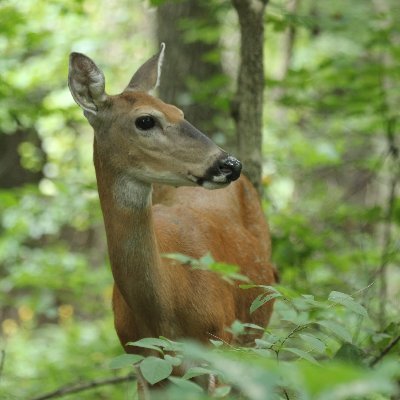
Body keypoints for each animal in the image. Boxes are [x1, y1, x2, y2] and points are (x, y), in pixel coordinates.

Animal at [68, 43, 276, 396]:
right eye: (146, 120)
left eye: (179, 111)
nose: (230, 164)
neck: (164, 311)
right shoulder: (142, 367)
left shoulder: (219, 350)